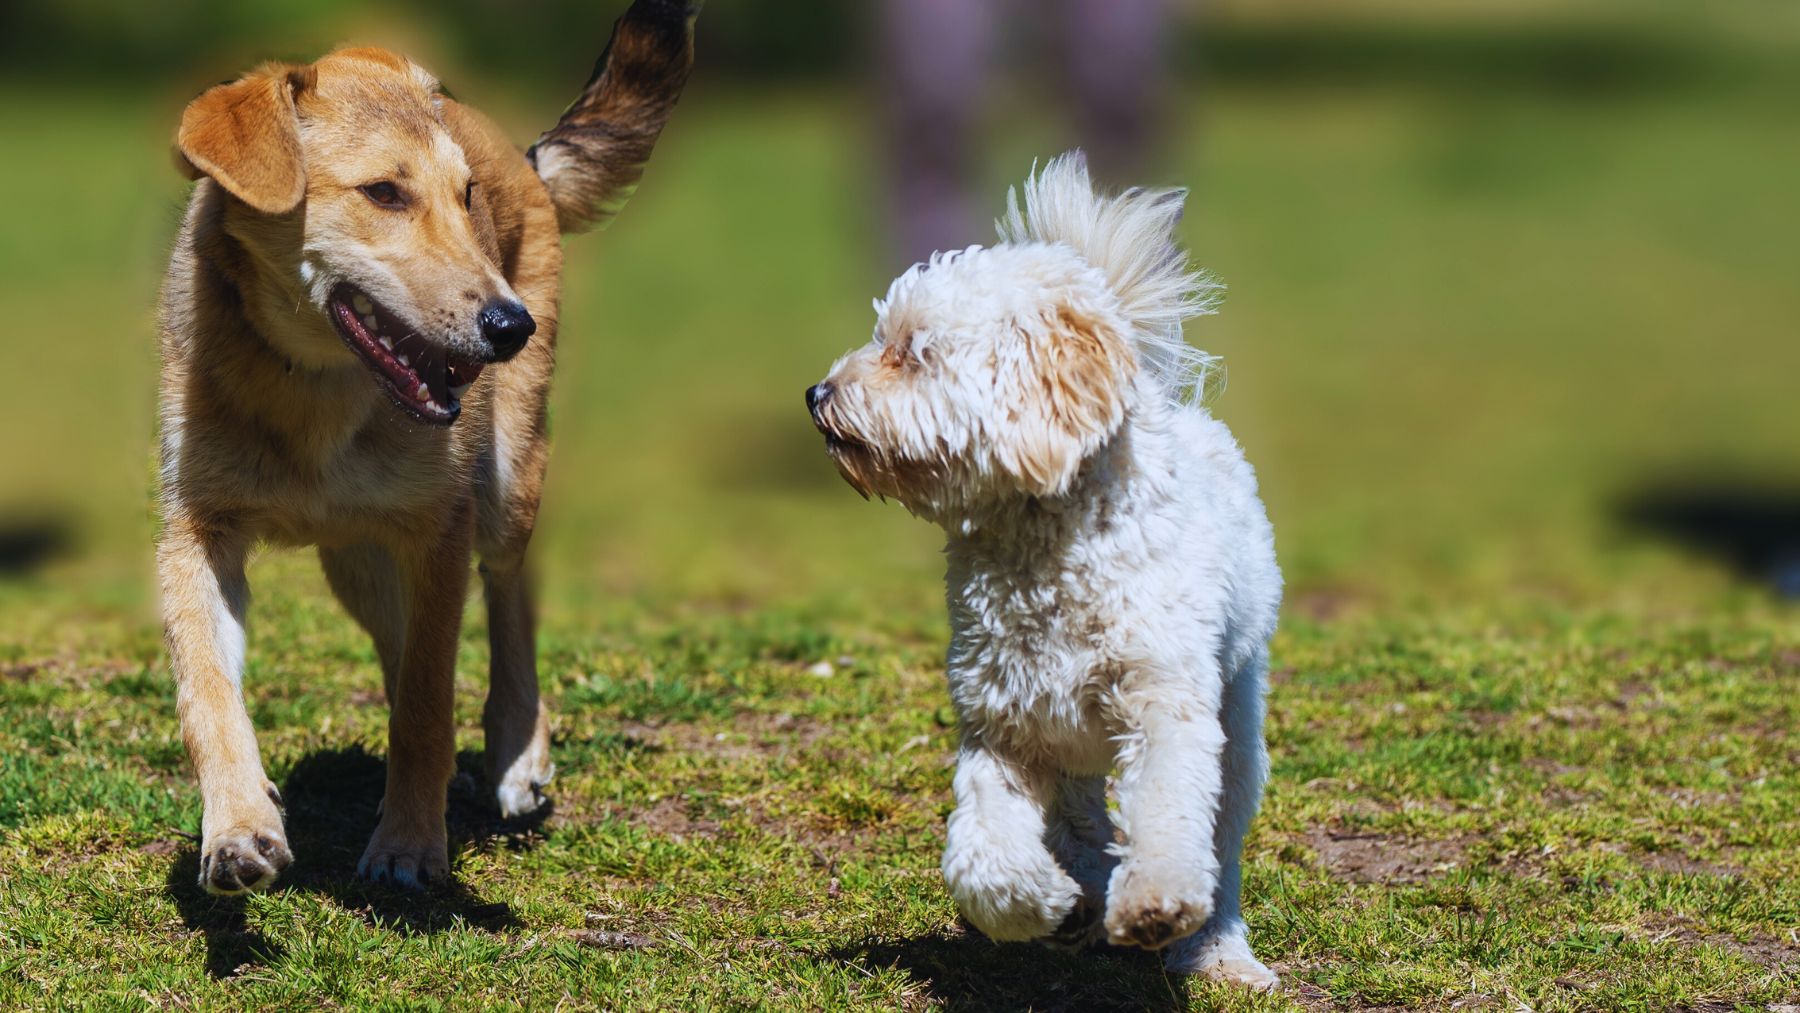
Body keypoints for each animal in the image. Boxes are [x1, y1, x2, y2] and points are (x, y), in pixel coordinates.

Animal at [158, 0, 698, 892]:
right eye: (383, 192)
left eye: (465, 196)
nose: (511, 325)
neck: (311, 389)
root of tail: (522, 154)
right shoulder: (198, 530)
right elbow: (209, 692)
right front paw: (238, 826)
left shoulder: (440, 529)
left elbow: (424, 704)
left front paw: (410, 843)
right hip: (357, 560)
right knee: (402, 641)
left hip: (506, 483)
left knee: (508, 594)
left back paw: (516, 752)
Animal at [810, 152, 1288, 993]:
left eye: (913, 350)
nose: (816, 395)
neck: (1043, 547)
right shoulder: (1004, 728)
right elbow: (981, 859)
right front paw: (1047, 907)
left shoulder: (1164, 704)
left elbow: (1170, 813)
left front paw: (1155, 903)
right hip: (1068, 750)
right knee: (1083, 819)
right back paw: (1087, 893)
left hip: (1236, 716)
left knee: (1219, 839)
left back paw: (1218, 948)